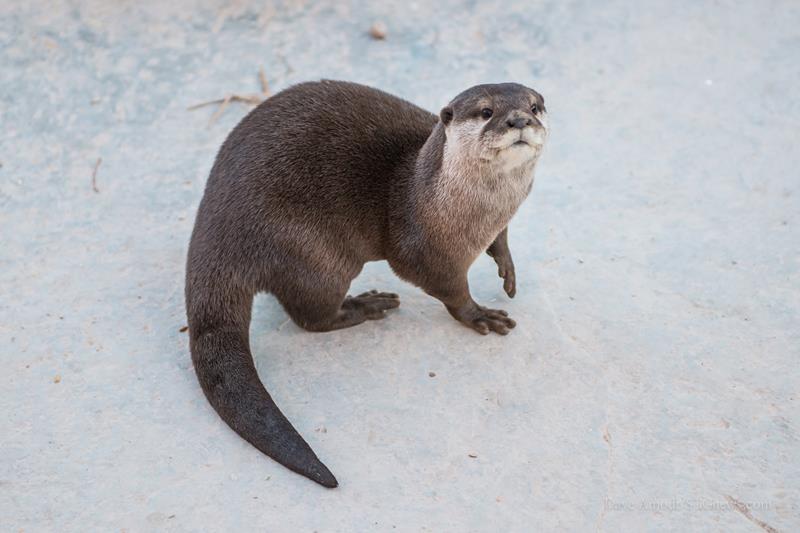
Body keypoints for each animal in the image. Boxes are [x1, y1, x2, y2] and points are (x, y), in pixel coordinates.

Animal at [184, 79, 548, 486]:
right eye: (486, 112)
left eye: (535, 106)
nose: (519, 119)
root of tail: (215, 230)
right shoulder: (421, 247)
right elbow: (448, 288)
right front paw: (479, 314)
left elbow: (500, 239)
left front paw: (506, 264)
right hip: (314, 251)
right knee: (311, 316)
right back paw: (366, 305)